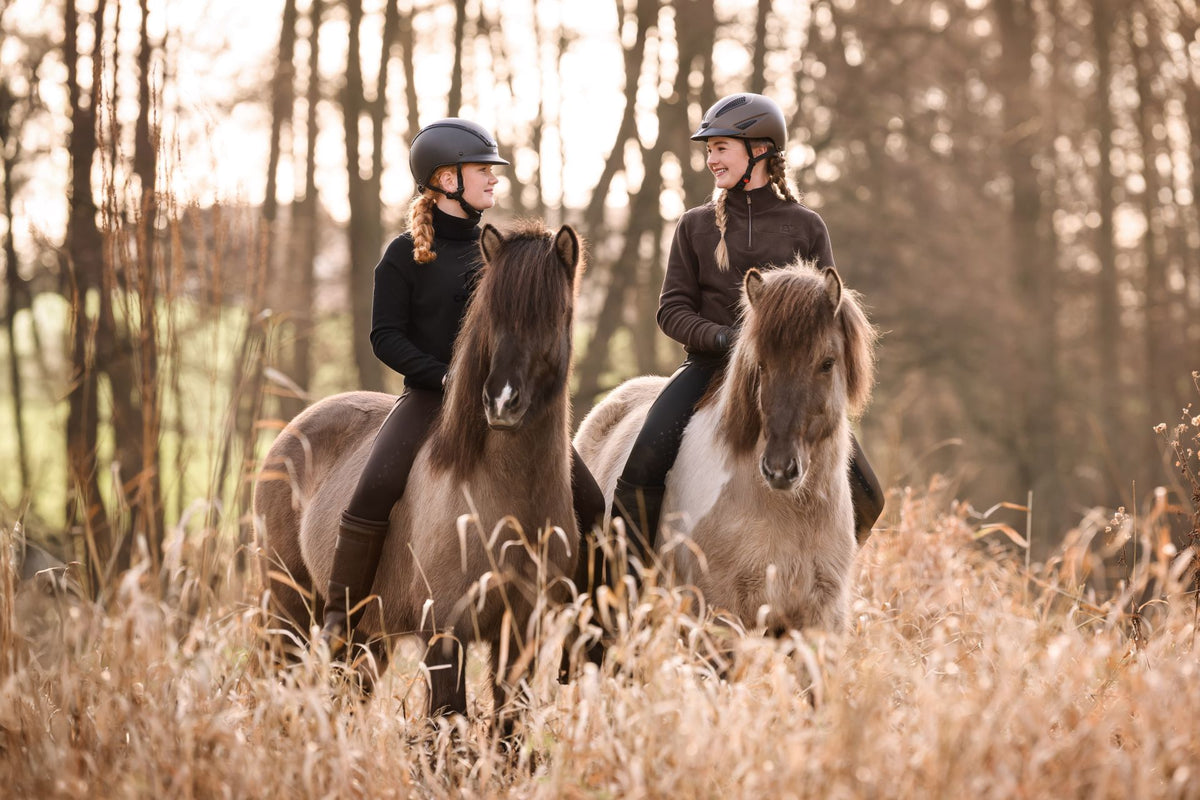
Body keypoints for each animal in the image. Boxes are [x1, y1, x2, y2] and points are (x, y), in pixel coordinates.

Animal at [254, 220, 582, 722]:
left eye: (556, 313)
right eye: (491, 314)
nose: (502, 402)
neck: (510, 500)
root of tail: (290, 431)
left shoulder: (522, 633)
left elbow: (507, 727)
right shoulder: (444, 634)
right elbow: (447, 725)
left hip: (367, 637)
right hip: (288, 607)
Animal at [574, 261, 876, 634]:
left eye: (827, 362)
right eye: (760, 364)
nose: (780, 469)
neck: (791, 512)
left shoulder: (818, 622)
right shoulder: (721, 618)